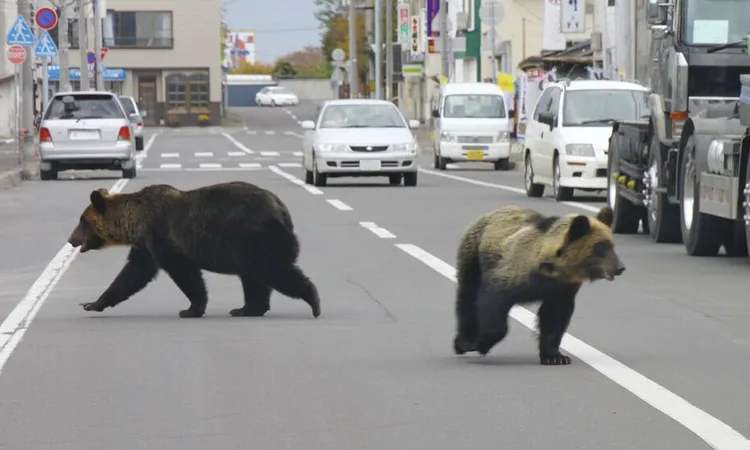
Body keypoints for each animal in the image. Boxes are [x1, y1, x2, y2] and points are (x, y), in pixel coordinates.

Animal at [66, 181, 321, 319]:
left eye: (82, 221)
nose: (70, 239)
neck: (135, 221)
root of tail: (282, 209)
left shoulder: (162, 236)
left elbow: (184, 272)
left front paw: (191, 308)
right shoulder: (145, 245)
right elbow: (132, 274)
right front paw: (93, 303)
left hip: (253, 237)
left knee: (271, 270)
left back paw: (313, 301)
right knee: (254, 277)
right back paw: (246, 308)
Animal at [452, 205, 624, 365]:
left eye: (612, 245)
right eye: (600, 246)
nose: (620, 267)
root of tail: (489, 213)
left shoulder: (562, 289)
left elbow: (555, 318)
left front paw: (556, 357)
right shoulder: (512, 273)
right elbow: (493, 302)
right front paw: (481, 344)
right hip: (473, 254)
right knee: (467, 295)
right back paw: (463, 342)